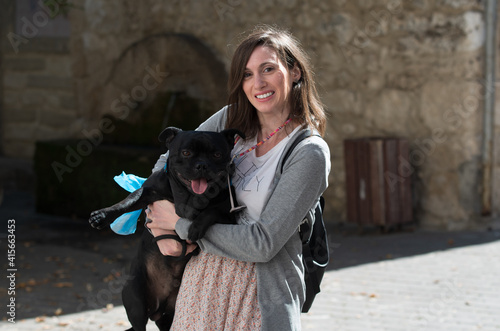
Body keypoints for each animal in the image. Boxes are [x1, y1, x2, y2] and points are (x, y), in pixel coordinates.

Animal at [91, 127, 246, 331]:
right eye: (186, 153)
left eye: (217, 154)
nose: (202, 165)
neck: (190, 197)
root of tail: (158, 308)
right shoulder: (147, 191)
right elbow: (127, 201)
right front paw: (101, 215)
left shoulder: (230, 214)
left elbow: (211, 211)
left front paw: (195, 228)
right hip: (136, 300)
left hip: (169, 314)